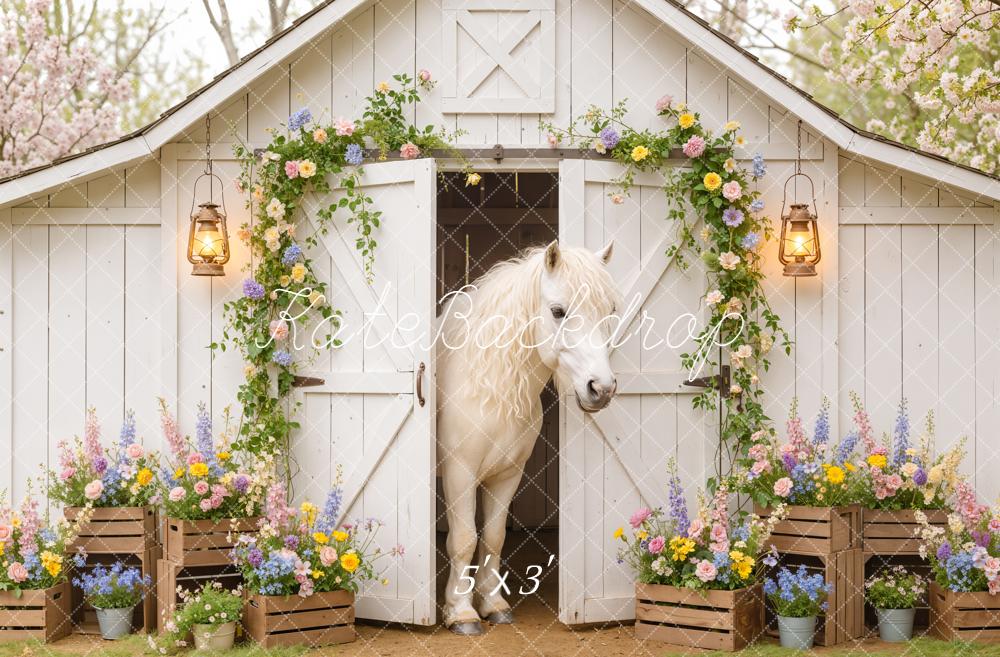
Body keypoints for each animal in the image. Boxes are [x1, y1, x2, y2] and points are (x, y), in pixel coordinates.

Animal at [436, 240, 620, 635]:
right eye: (558, 311)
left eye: (609, 311)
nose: (601, 389)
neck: (489, 388)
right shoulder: (460, 473)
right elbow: (463, 539)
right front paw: (461, 613)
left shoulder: (507, 475)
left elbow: (493, 537)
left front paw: (493, 604)